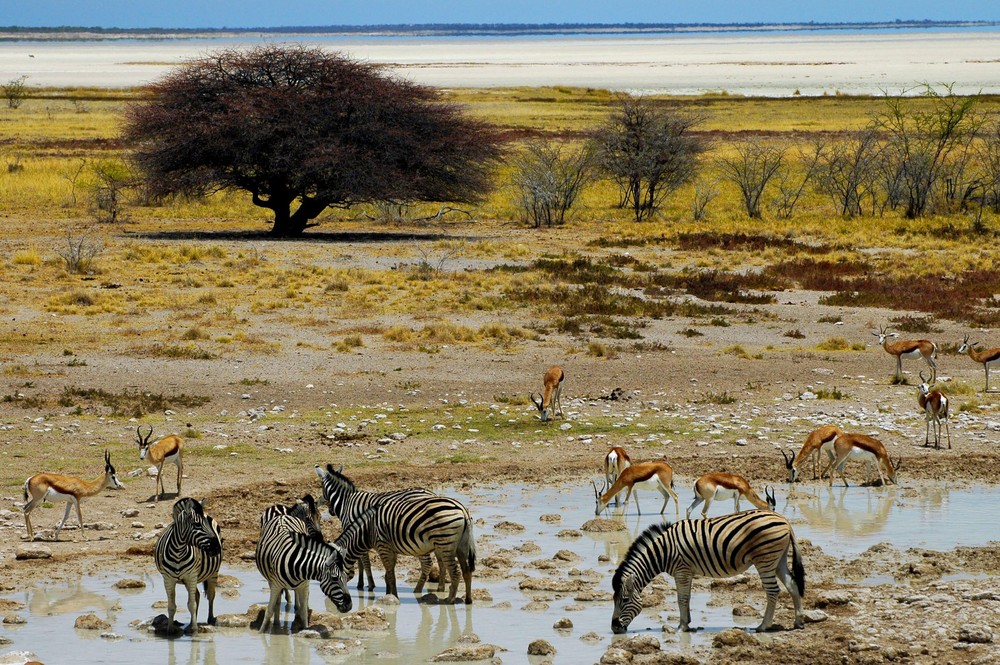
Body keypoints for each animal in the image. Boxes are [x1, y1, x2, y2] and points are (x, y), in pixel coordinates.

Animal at [152, 498, 223, 632]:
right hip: (186, 580)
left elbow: (191, 605)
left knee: (211, 595)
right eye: (197, 525)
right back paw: (190, 623)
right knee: (197, 595)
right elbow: (171, 606)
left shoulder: (191, 576)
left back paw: (210, 619)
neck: (178, 552)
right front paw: (170, 630)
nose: (217, 548)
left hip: (213, 572)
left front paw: (194, 630)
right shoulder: (168, 579)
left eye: (207, 524)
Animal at [318, 464, 478, 604]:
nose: (330, 511)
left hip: (436, 542)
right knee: (461, 569)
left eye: (321, 488)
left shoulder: (374, 543)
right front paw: (386, 592)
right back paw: (458, 595)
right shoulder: (387, 547)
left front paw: (367, 585)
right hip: (455, 545)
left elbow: (367, 563)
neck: (347, 501)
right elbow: (387, 572)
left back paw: (441, 597)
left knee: (441, 567)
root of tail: (462, 509)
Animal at [608, 508, 804, 632]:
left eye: (624, 600)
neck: (663, 552)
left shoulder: (682, 570)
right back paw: (798, 622)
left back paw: (763, 626)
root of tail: (785, 521)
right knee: (792, 584)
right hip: (778, 560)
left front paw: (682, 627)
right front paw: (687, 623)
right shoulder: (687, 572)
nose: (614, 628)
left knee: (773, 590)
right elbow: (687, 598)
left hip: (765, 559)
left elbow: (681, 598)